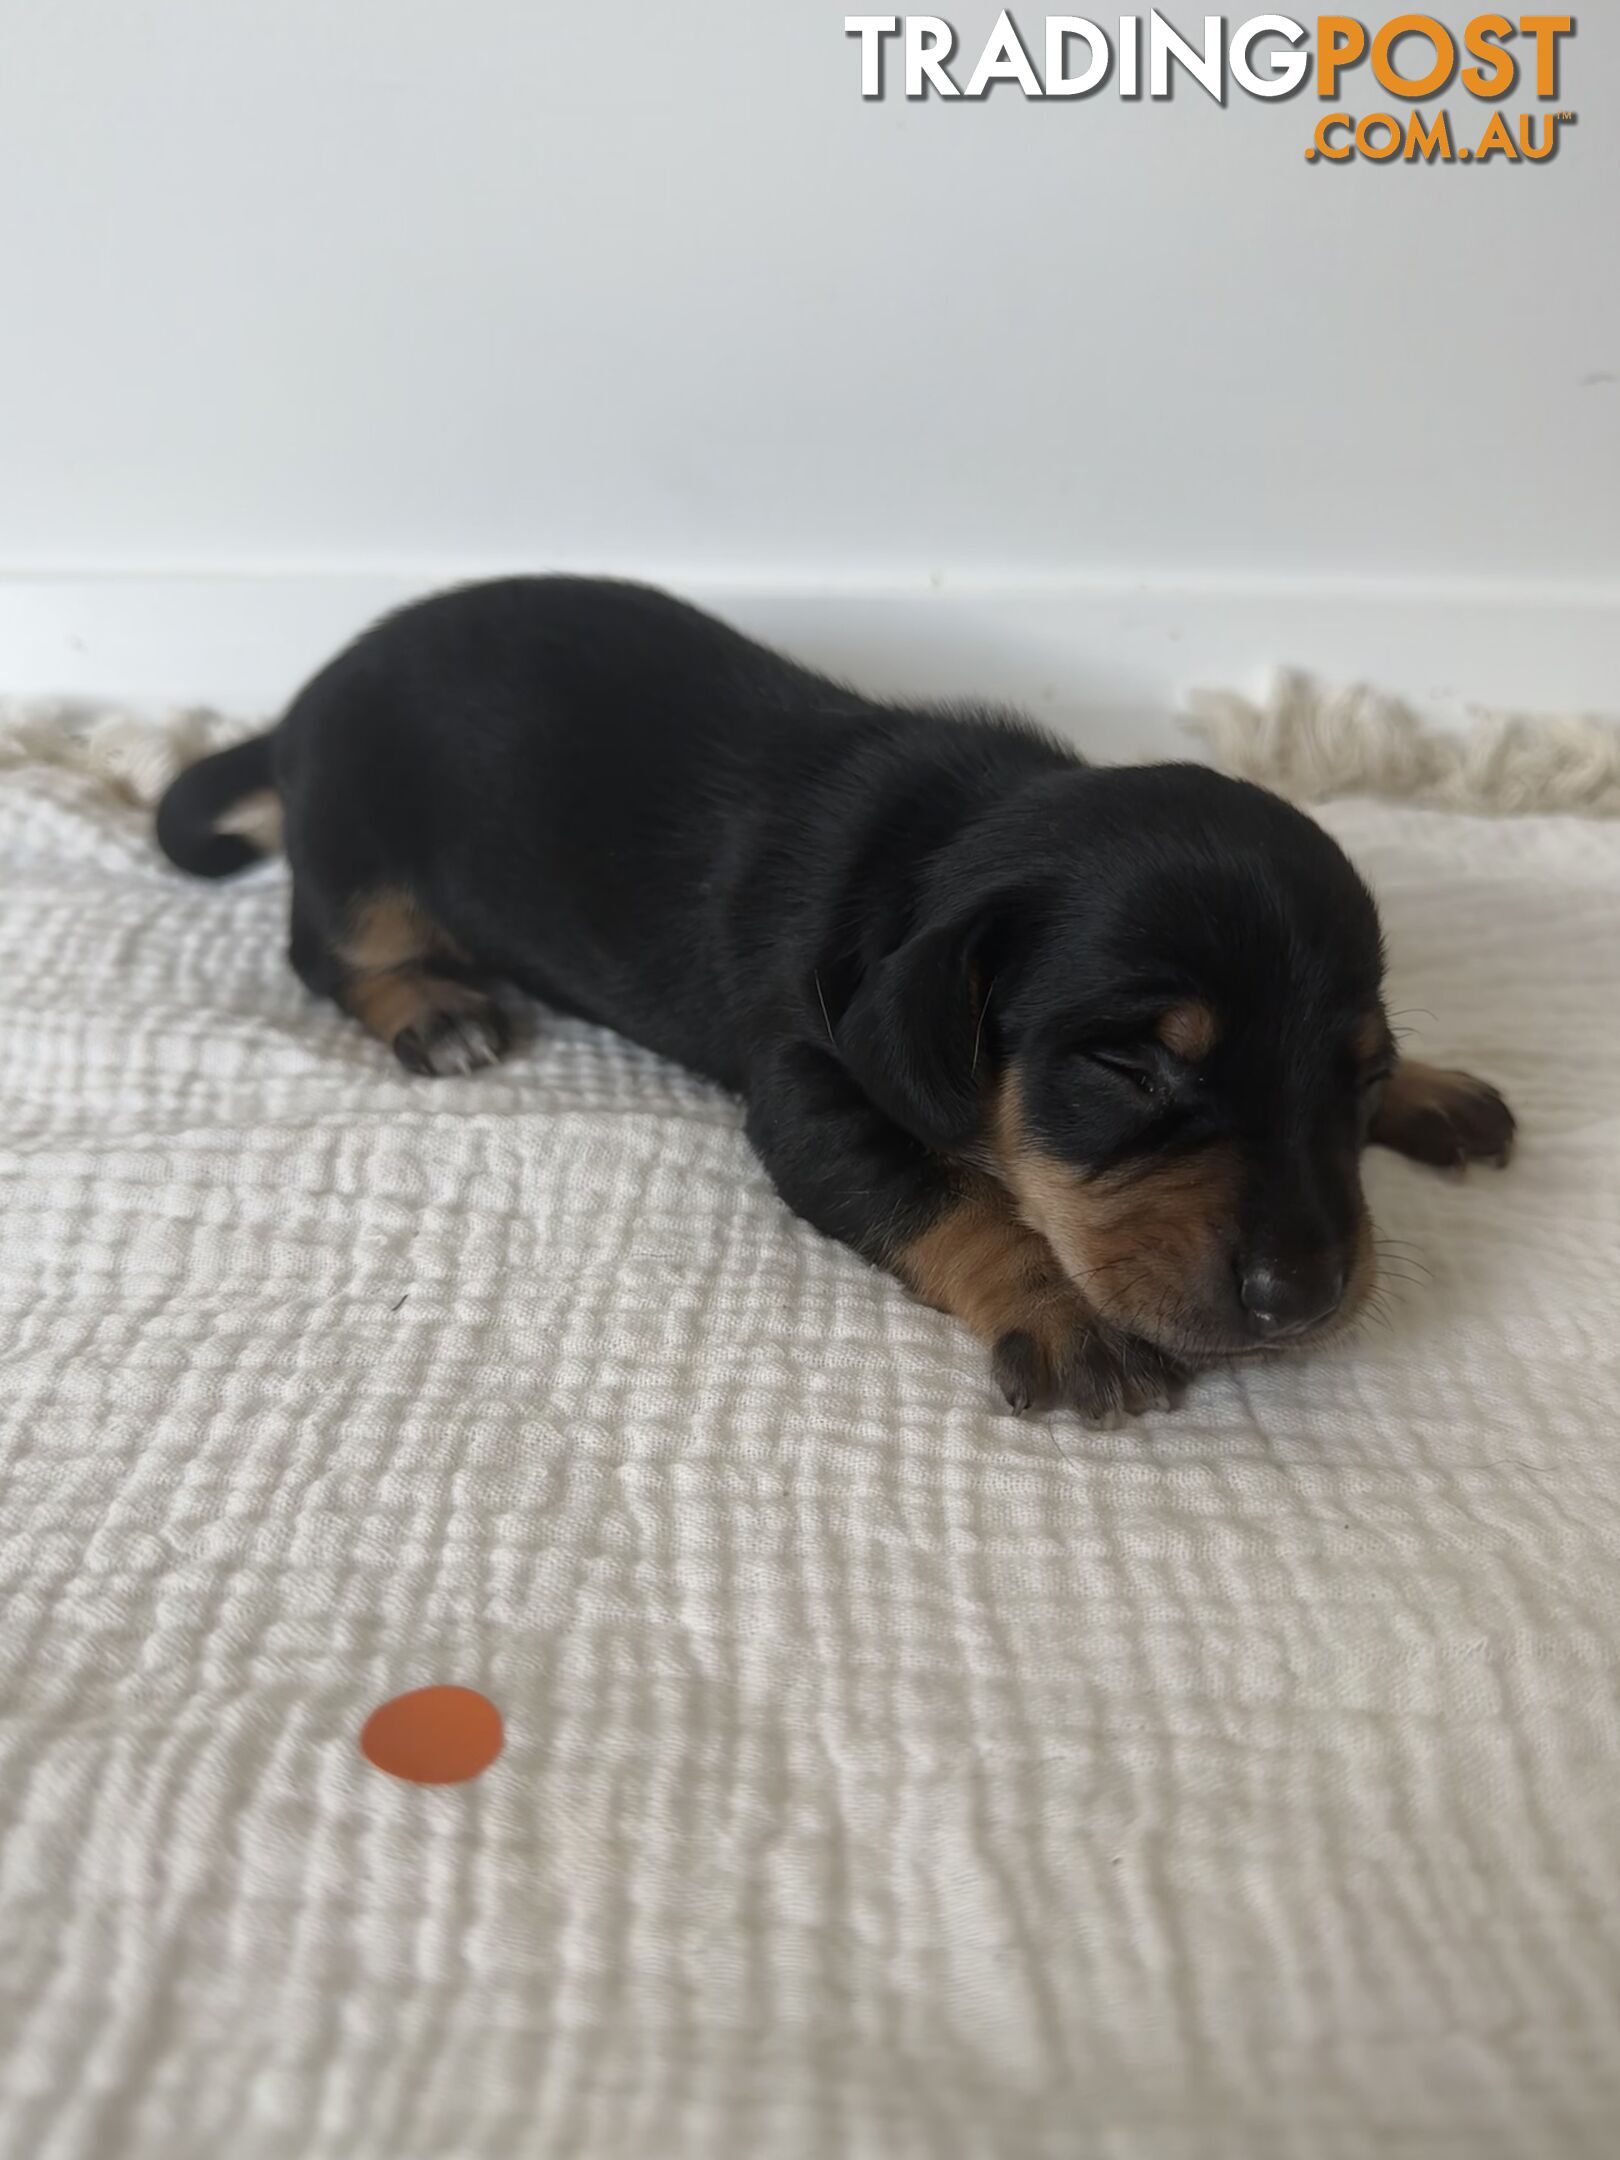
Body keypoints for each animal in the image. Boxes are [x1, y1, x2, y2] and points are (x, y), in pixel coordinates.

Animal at [158, 578, 1520, 1416]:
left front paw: (1440, 1088)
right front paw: (1064, 1318)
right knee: (326, 947)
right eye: (1132, 1067)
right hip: (362, 859)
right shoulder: (813, 1094)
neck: (952, 841)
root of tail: (301, 700)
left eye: (1361, 1074)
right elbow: (949, 1197)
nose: (1306, 1302)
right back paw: (432, 1010)